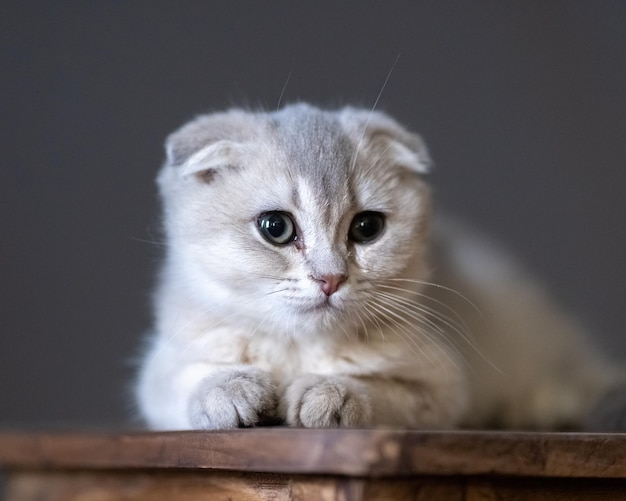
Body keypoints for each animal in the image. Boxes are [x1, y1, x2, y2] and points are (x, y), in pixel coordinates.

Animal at [134, 102, 620, 430]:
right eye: (276, 227)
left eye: (367, 228)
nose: (330, 278)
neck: (299, 350)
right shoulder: (163, 365)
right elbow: (183, 382)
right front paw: (231, 389)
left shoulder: (442, 388)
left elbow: (380, 392)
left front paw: (328, 394)